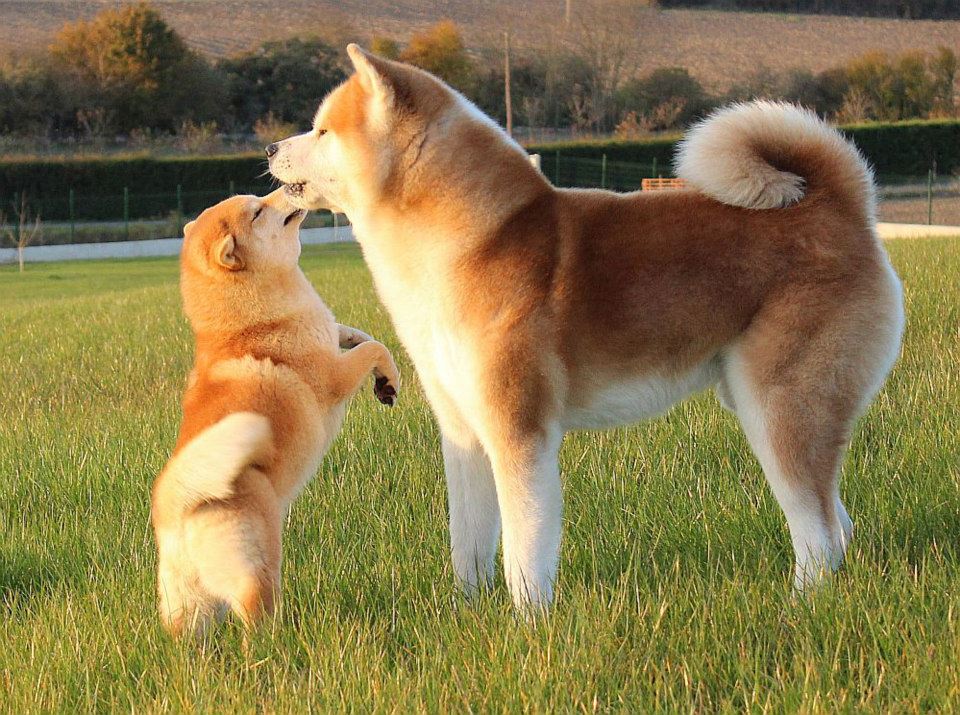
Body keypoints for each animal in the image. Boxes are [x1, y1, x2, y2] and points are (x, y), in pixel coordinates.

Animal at [152, 189, 400, 636]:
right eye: (257, 211)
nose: (287, 189)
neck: (249, 324)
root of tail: (175, 505)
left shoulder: (328, 333)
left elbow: (352, 334)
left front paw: (371, 362)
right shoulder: (333, 378)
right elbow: (373, 350)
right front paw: (388, 380)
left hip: (187, 604)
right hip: (257, 563)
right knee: (256, 618)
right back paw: (278, 644)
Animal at [266, 47, 904, 612]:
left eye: (322, 131)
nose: (271, 146)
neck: (471, 242)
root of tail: (841, 206)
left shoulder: (519, 431)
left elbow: (524, 549)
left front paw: (528, 625)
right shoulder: (464, 431)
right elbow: (468, 544)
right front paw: (465, 614)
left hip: (779, 405)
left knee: (817, 531)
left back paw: (799, 604)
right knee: (836, 521)